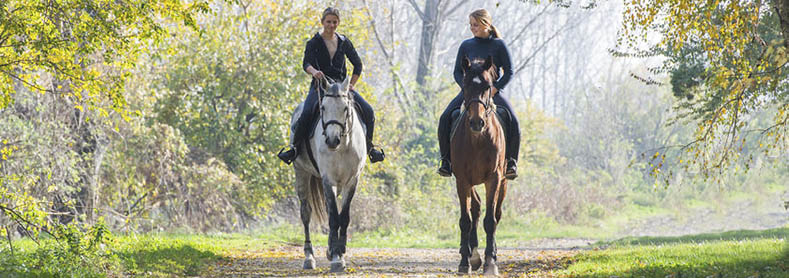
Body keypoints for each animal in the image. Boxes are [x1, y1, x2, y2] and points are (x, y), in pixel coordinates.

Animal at [290, 77, 366, 272]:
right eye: (322, 107)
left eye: (345, 108)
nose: (332, 140)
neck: (343, 146)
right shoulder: (328, 179)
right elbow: (333, 218)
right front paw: (337, 258)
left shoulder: (351, 181)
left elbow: (343, 216)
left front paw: (339, 251)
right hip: (301, 172)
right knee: (306, 213)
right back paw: (309, 257)